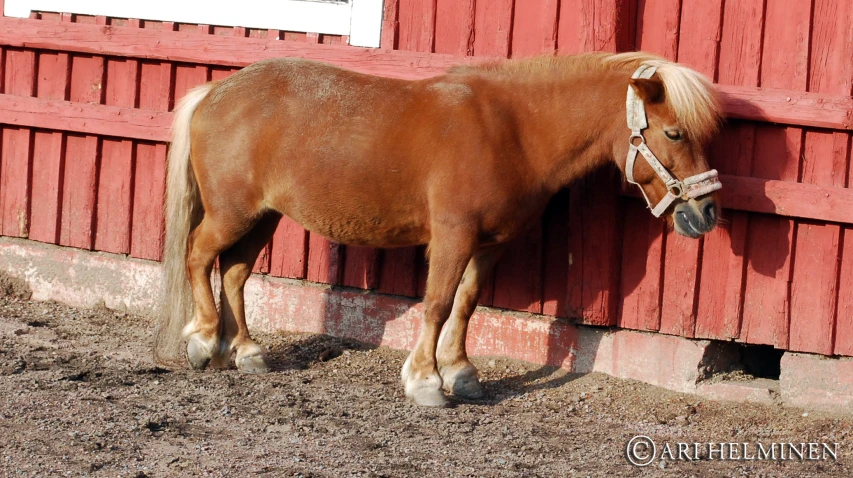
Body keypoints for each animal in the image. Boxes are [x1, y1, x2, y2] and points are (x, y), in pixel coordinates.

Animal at [153, 51, 720, 408]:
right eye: (674, 132)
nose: (707, 213)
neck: (512, 128)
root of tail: (215, 90)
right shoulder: (453, 237)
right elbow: (438, 304)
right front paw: (426, 381)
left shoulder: (490, 245)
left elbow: (466, 304)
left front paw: (461, 372)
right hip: (231, 214)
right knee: (197, 258)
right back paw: (204, 341)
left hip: (261, 217)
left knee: (233, 274)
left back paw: (246, 352)